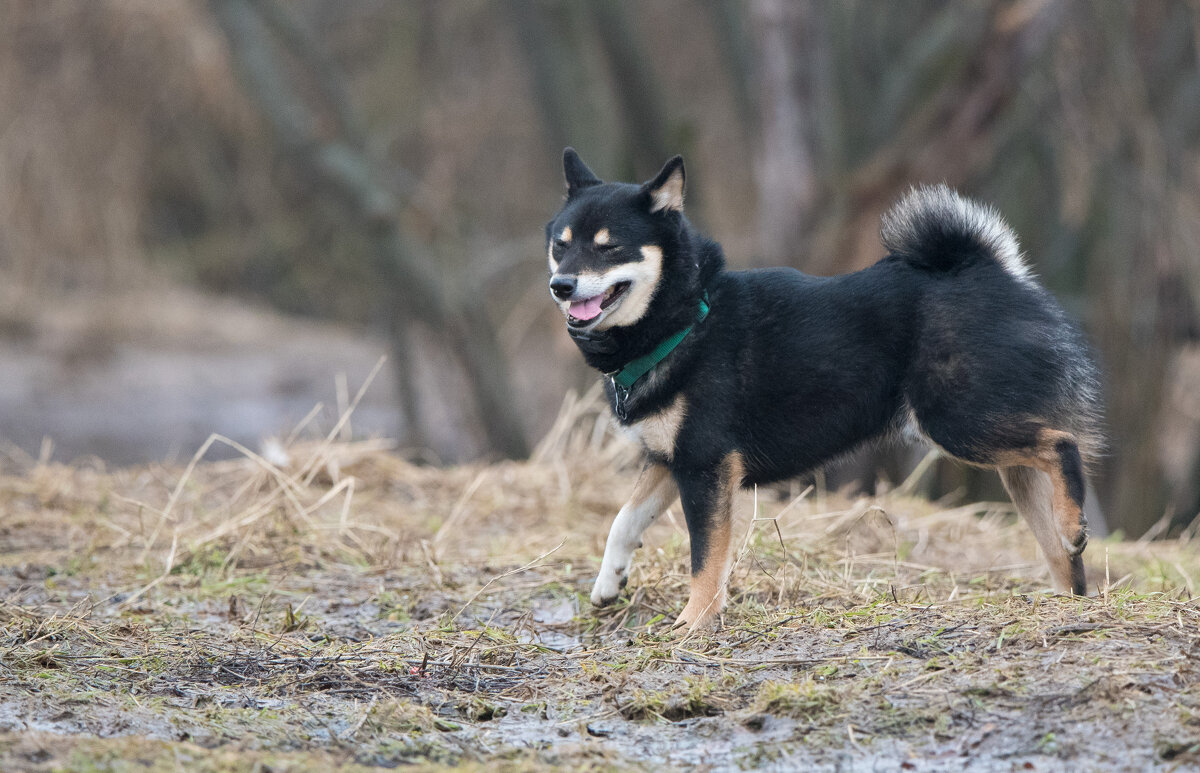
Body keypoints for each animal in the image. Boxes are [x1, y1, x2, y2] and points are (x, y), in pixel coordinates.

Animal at [549, 148, 1099, 628]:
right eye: (561, 244)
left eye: (609, 246)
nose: (561, 285)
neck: (687, 317)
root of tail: (989, 270)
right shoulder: (668, 460)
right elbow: (623, 520)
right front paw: (608, 582)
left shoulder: (705, 465)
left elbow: (705, 557)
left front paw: (693, 621)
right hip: (999, 453)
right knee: (1059, 550)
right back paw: (1068, 599)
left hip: (958, 423)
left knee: (1062, 445)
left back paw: (1074, 524)